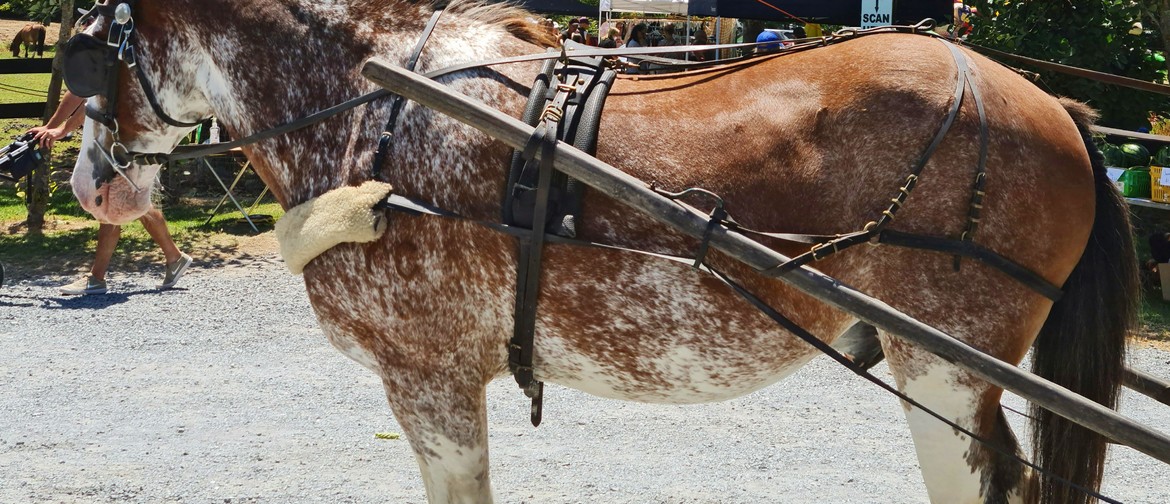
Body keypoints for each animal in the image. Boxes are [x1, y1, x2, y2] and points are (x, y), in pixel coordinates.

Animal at [64, 0, 1132, 504]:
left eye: (88, 50)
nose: (87, 183)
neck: (378, 104)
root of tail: (1057, 109)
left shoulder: (428, 374)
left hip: (942, 367)